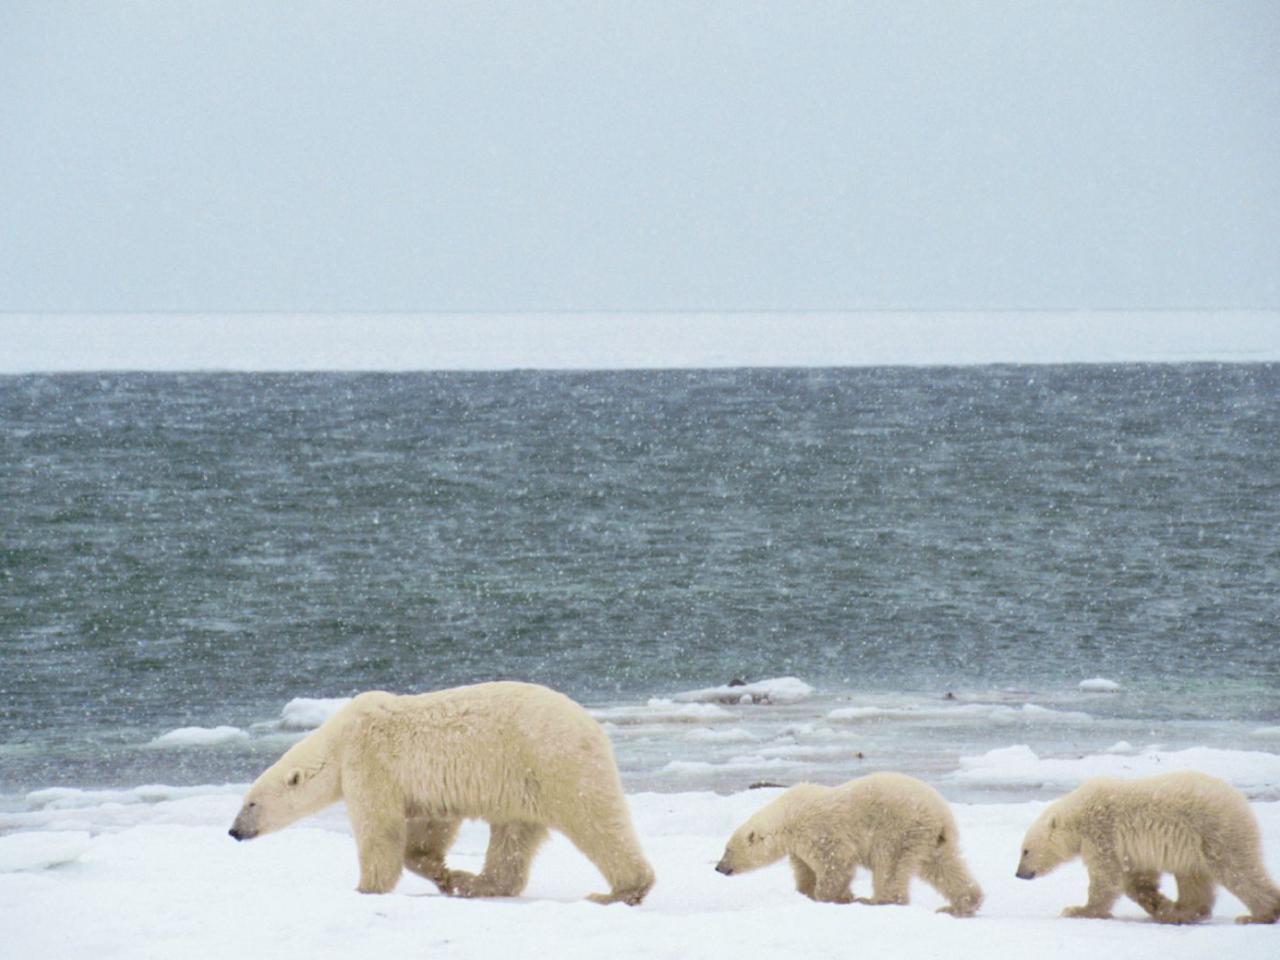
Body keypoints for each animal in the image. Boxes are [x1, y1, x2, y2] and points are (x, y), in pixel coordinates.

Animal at [225, 680, 655, 906]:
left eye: (251, 803)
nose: (233, 831)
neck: (339, 738)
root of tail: (593, 727)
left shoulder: (368, 762)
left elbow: (379, 828)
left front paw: (367, 887)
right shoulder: (419, 784)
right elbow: (429, 826)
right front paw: (443, 873)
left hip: (553, 762)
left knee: (595, 822)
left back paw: (620, 891)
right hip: (522, 782)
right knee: (513, 838)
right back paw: (474, 882)